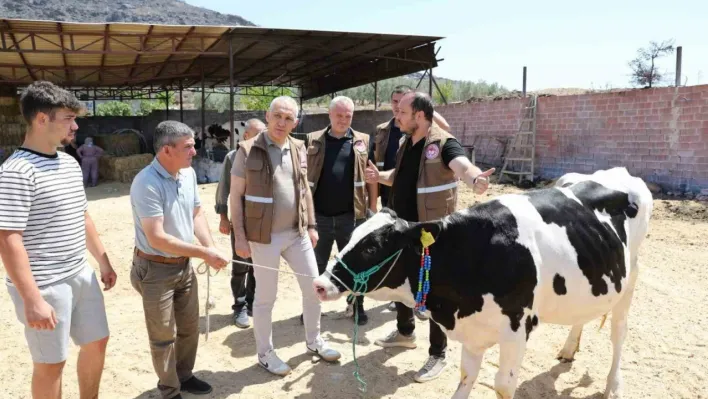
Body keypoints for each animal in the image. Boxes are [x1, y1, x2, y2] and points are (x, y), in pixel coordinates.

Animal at [312, 167, 656, 398]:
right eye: (352, 236)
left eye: (371, 247)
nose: (319, 284)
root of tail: (619, 171)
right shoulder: (473, 329)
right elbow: (466, 375)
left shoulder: (516, 329)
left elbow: (503, 386)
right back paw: (569, 349)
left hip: (632, 275)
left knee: (619, 333)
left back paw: (613, 386)